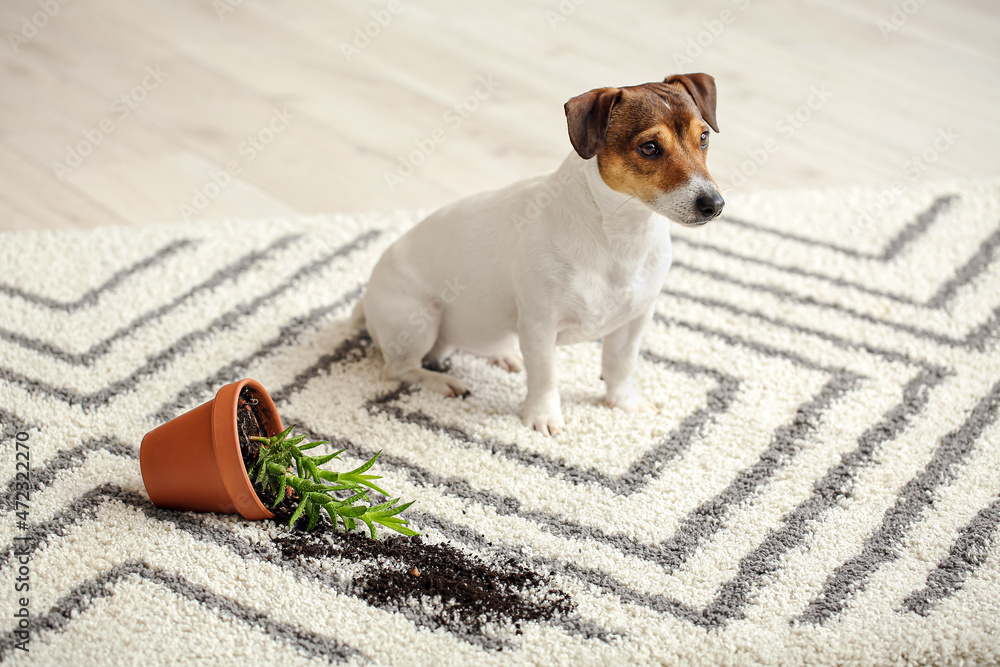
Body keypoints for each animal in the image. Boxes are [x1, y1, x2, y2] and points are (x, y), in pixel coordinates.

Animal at [356, 74, 724, 434]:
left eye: (704, 138)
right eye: (649, 148)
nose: (715, 205)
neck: (622, 236)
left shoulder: (635, 319)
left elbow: (620, 364)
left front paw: (624, 403)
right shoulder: (540, 325)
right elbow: (545, 375)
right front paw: (543, 416)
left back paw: (504, 356)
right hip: (418, 318)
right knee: (399, 369)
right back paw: (441, 381)